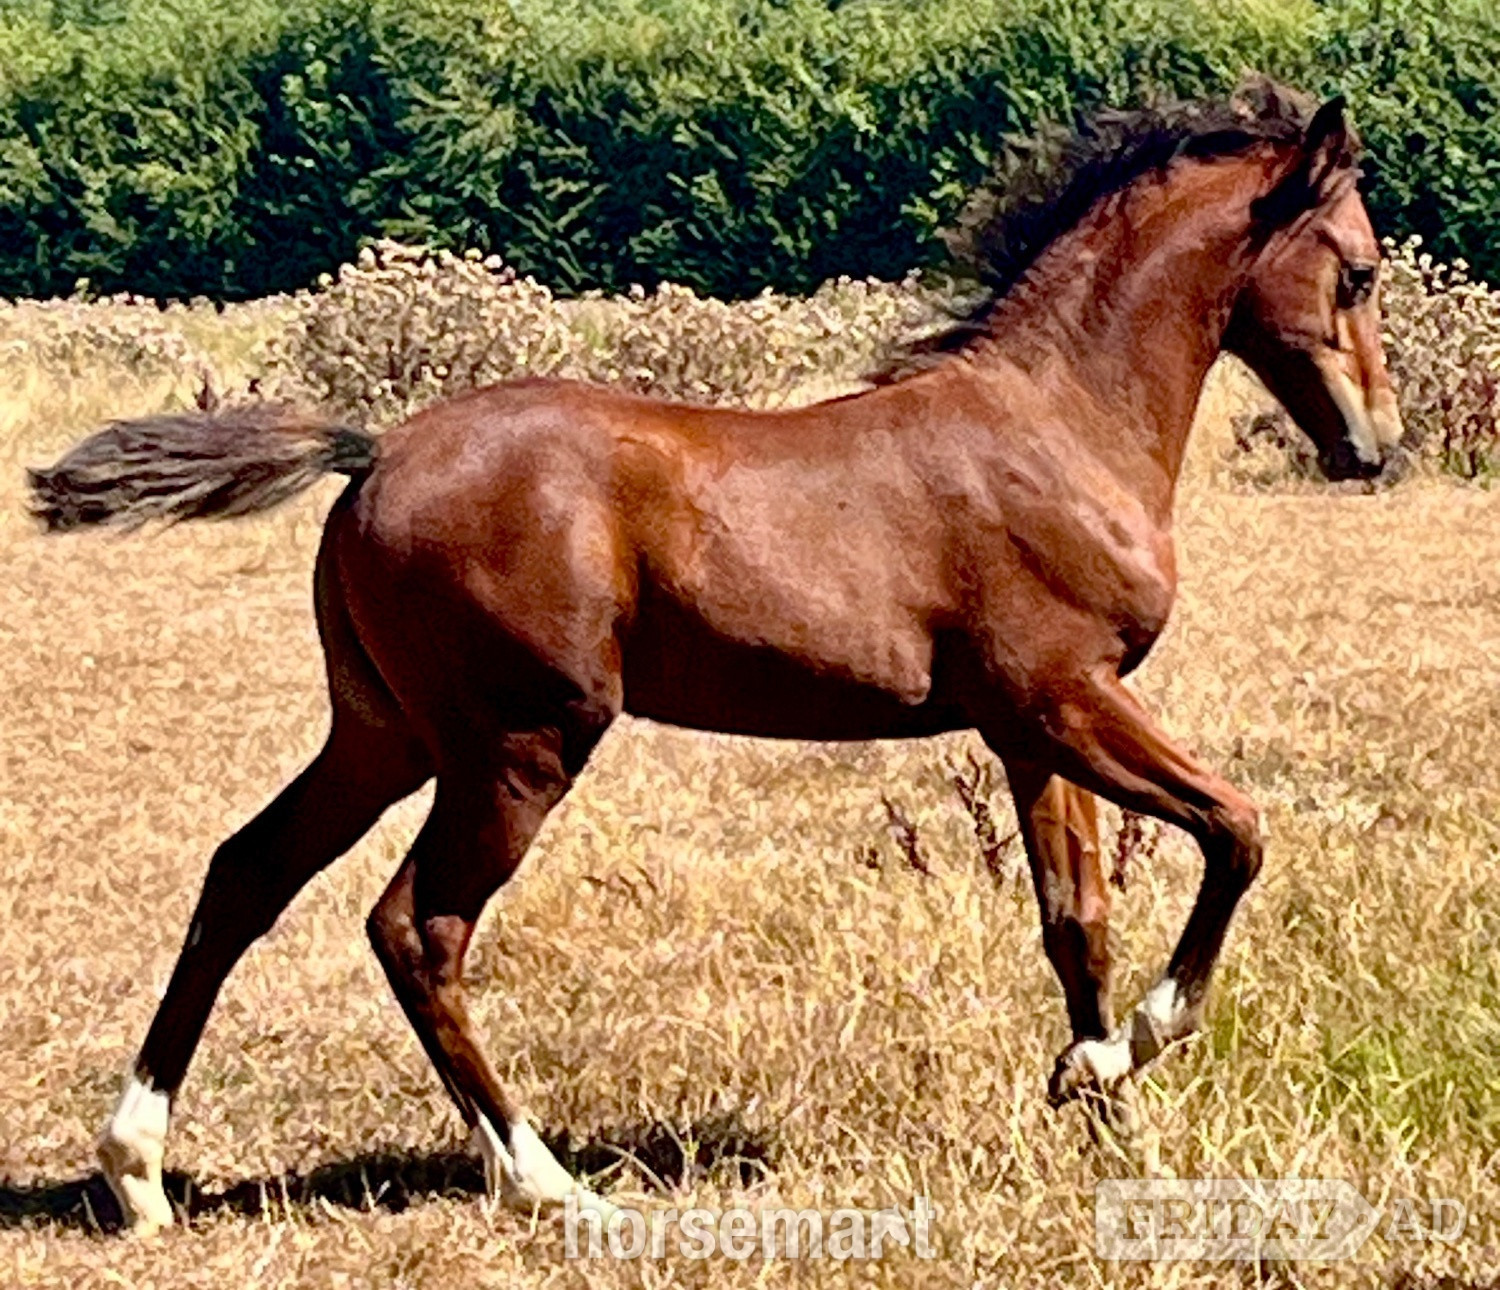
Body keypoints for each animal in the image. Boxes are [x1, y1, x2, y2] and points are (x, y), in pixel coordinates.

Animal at [29, 83, 1403, 1235]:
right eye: (1360, 271)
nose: (1375, 450)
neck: (1056, 422)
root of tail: (373, 454)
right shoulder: (1064, 697)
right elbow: (1237, 830)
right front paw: (1134, 1052)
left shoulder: (1031, 726)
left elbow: (1080, 925)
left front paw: (1101, 1108)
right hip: (521, 744)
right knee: (417, 926)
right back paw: (547, 1183)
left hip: (383, 734)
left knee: (246, 874)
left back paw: (138, 1172)